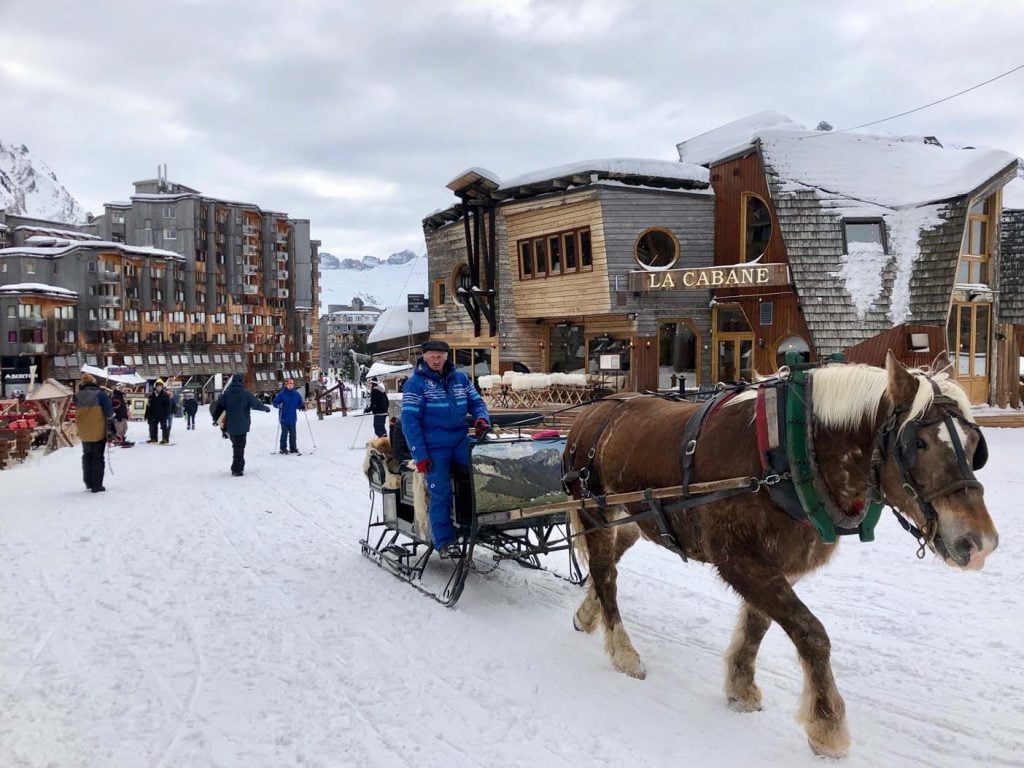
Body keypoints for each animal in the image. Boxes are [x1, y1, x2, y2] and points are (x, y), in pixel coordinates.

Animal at [565, 354, 995, 757]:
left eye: (975, 446)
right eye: (918, 444)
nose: (980, 544)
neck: (792, 451)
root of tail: (590, 413)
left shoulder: (780, 563)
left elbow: (759, 625)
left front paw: (741, 689)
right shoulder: (739, 561)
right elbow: (811, 633)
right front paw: (827, 726)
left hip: (634, 520)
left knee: (611, 562)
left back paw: (587, 615)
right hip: (594, 512)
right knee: (605, 573)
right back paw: (623, 652)